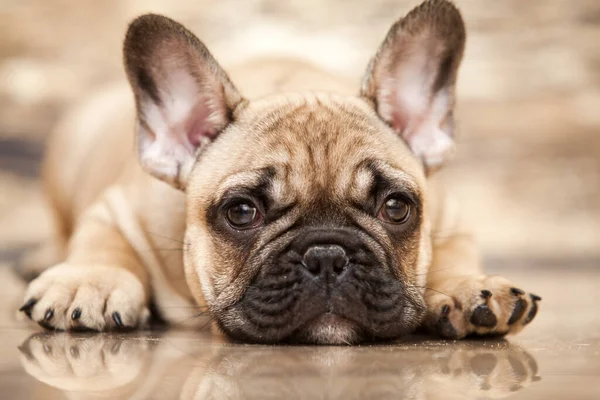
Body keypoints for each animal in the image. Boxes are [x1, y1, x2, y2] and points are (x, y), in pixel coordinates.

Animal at [19, 0, 540, 344]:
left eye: (396, 208)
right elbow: (100, 242)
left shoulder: (450, 216)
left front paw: (469, 287)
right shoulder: (116, 209)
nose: (327, 256)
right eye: (241, 212)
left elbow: (454, 253)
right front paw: (89, 280)